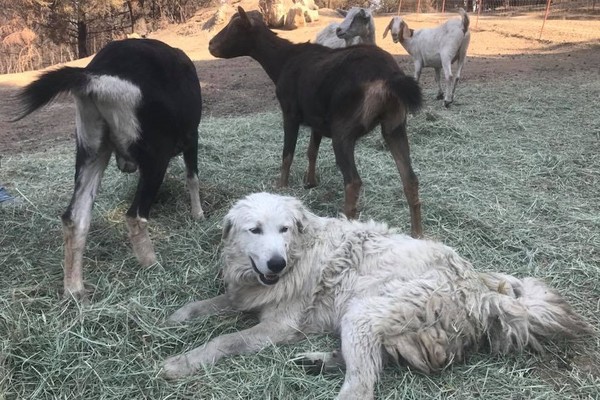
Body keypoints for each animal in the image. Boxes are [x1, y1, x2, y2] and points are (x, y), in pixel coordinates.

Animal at [14, 39, 204, 298]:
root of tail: (96, 76)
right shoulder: (191, 136)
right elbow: (192, 177)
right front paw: (198, 215)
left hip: (91, 147)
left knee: (75, 217)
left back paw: (74, 291)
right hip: (155, 153)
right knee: (135, 216)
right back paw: (153, 265)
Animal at [163, 192, 592, 398]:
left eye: (284, 229)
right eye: (254, 230)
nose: (276, 264)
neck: (300, 251)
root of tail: (479, 292)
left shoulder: (279, 327)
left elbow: (224, 340)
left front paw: (183, 362)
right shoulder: (248, 294)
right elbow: (213, 304)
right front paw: (178, 317)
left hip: (363, 312)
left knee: (362, 385)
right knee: (373, 360)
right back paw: (318, 361)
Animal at [209, 7, 424, 238]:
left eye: (235, 27)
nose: (211, 45)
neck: (282, 61)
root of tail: (390, 78)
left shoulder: (290, 113)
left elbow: (288, 153)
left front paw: (281, 187)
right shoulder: (317, 120)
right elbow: (311, 151)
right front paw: (310, 182)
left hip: (344, 130)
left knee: (353, 182)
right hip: (395, 125)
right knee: (410, 179)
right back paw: (418, 234)